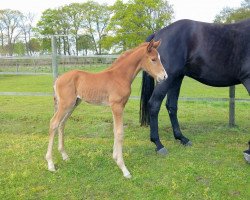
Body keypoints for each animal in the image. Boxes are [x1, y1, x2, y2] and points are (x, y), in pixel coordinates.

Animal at [140, 18, 250, 155]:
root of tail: (157, 34)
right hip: (167, 78)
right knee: (154, 104)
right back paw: (159, 144)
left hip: (176, 77)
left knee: (171, 106)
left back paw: (182, 138)